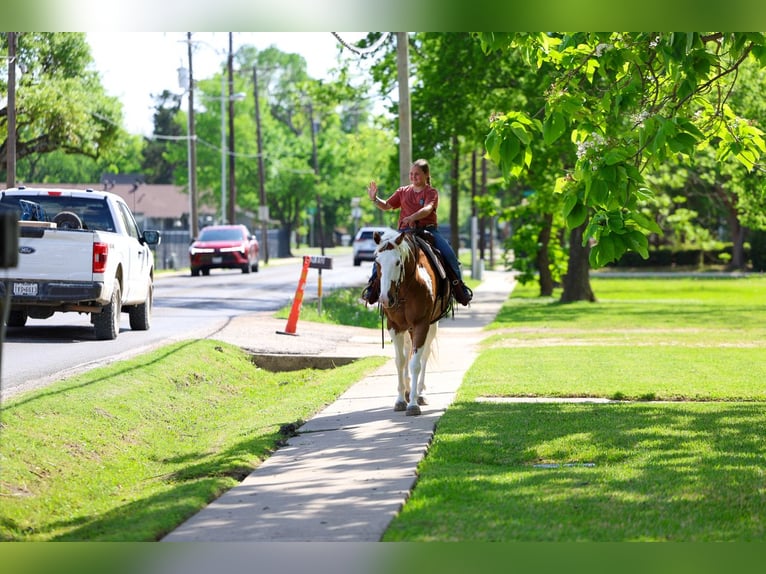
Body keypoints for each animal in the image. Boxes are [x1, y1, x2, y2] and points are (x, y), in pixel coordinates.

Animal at [373, 229, 453, 416]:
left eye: (397, 262)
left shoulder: (421, 325)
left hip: (431, 326)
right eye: (377, 262)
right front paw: (401, 400)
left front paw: (413, 404)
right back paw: (409, 391)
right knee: (407, 352)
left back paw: (420, 393)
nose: (385, 299)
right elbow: (400, 361)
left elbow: (415, 363)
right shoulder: (394, 327)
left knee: (424, 355)